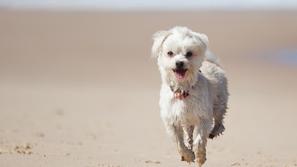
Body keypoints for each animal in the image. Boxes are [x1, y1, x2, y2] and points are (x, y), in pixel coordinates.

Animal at [151, 26, 228, 166]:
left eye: (189, 54)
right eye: (170, 53)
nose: (179, 63)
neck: (182, 90)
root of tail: (212, 63)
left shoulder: (203, 118)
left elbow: (200, 141)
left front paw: (200, 157)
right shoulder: (172, 120)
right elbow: (179, 143)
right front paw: (187, 155)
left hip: (219, 103)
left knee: (219, 121)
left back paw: (214, 131)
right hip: (187, 121)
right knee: (189, 134)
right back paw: (189, 143)